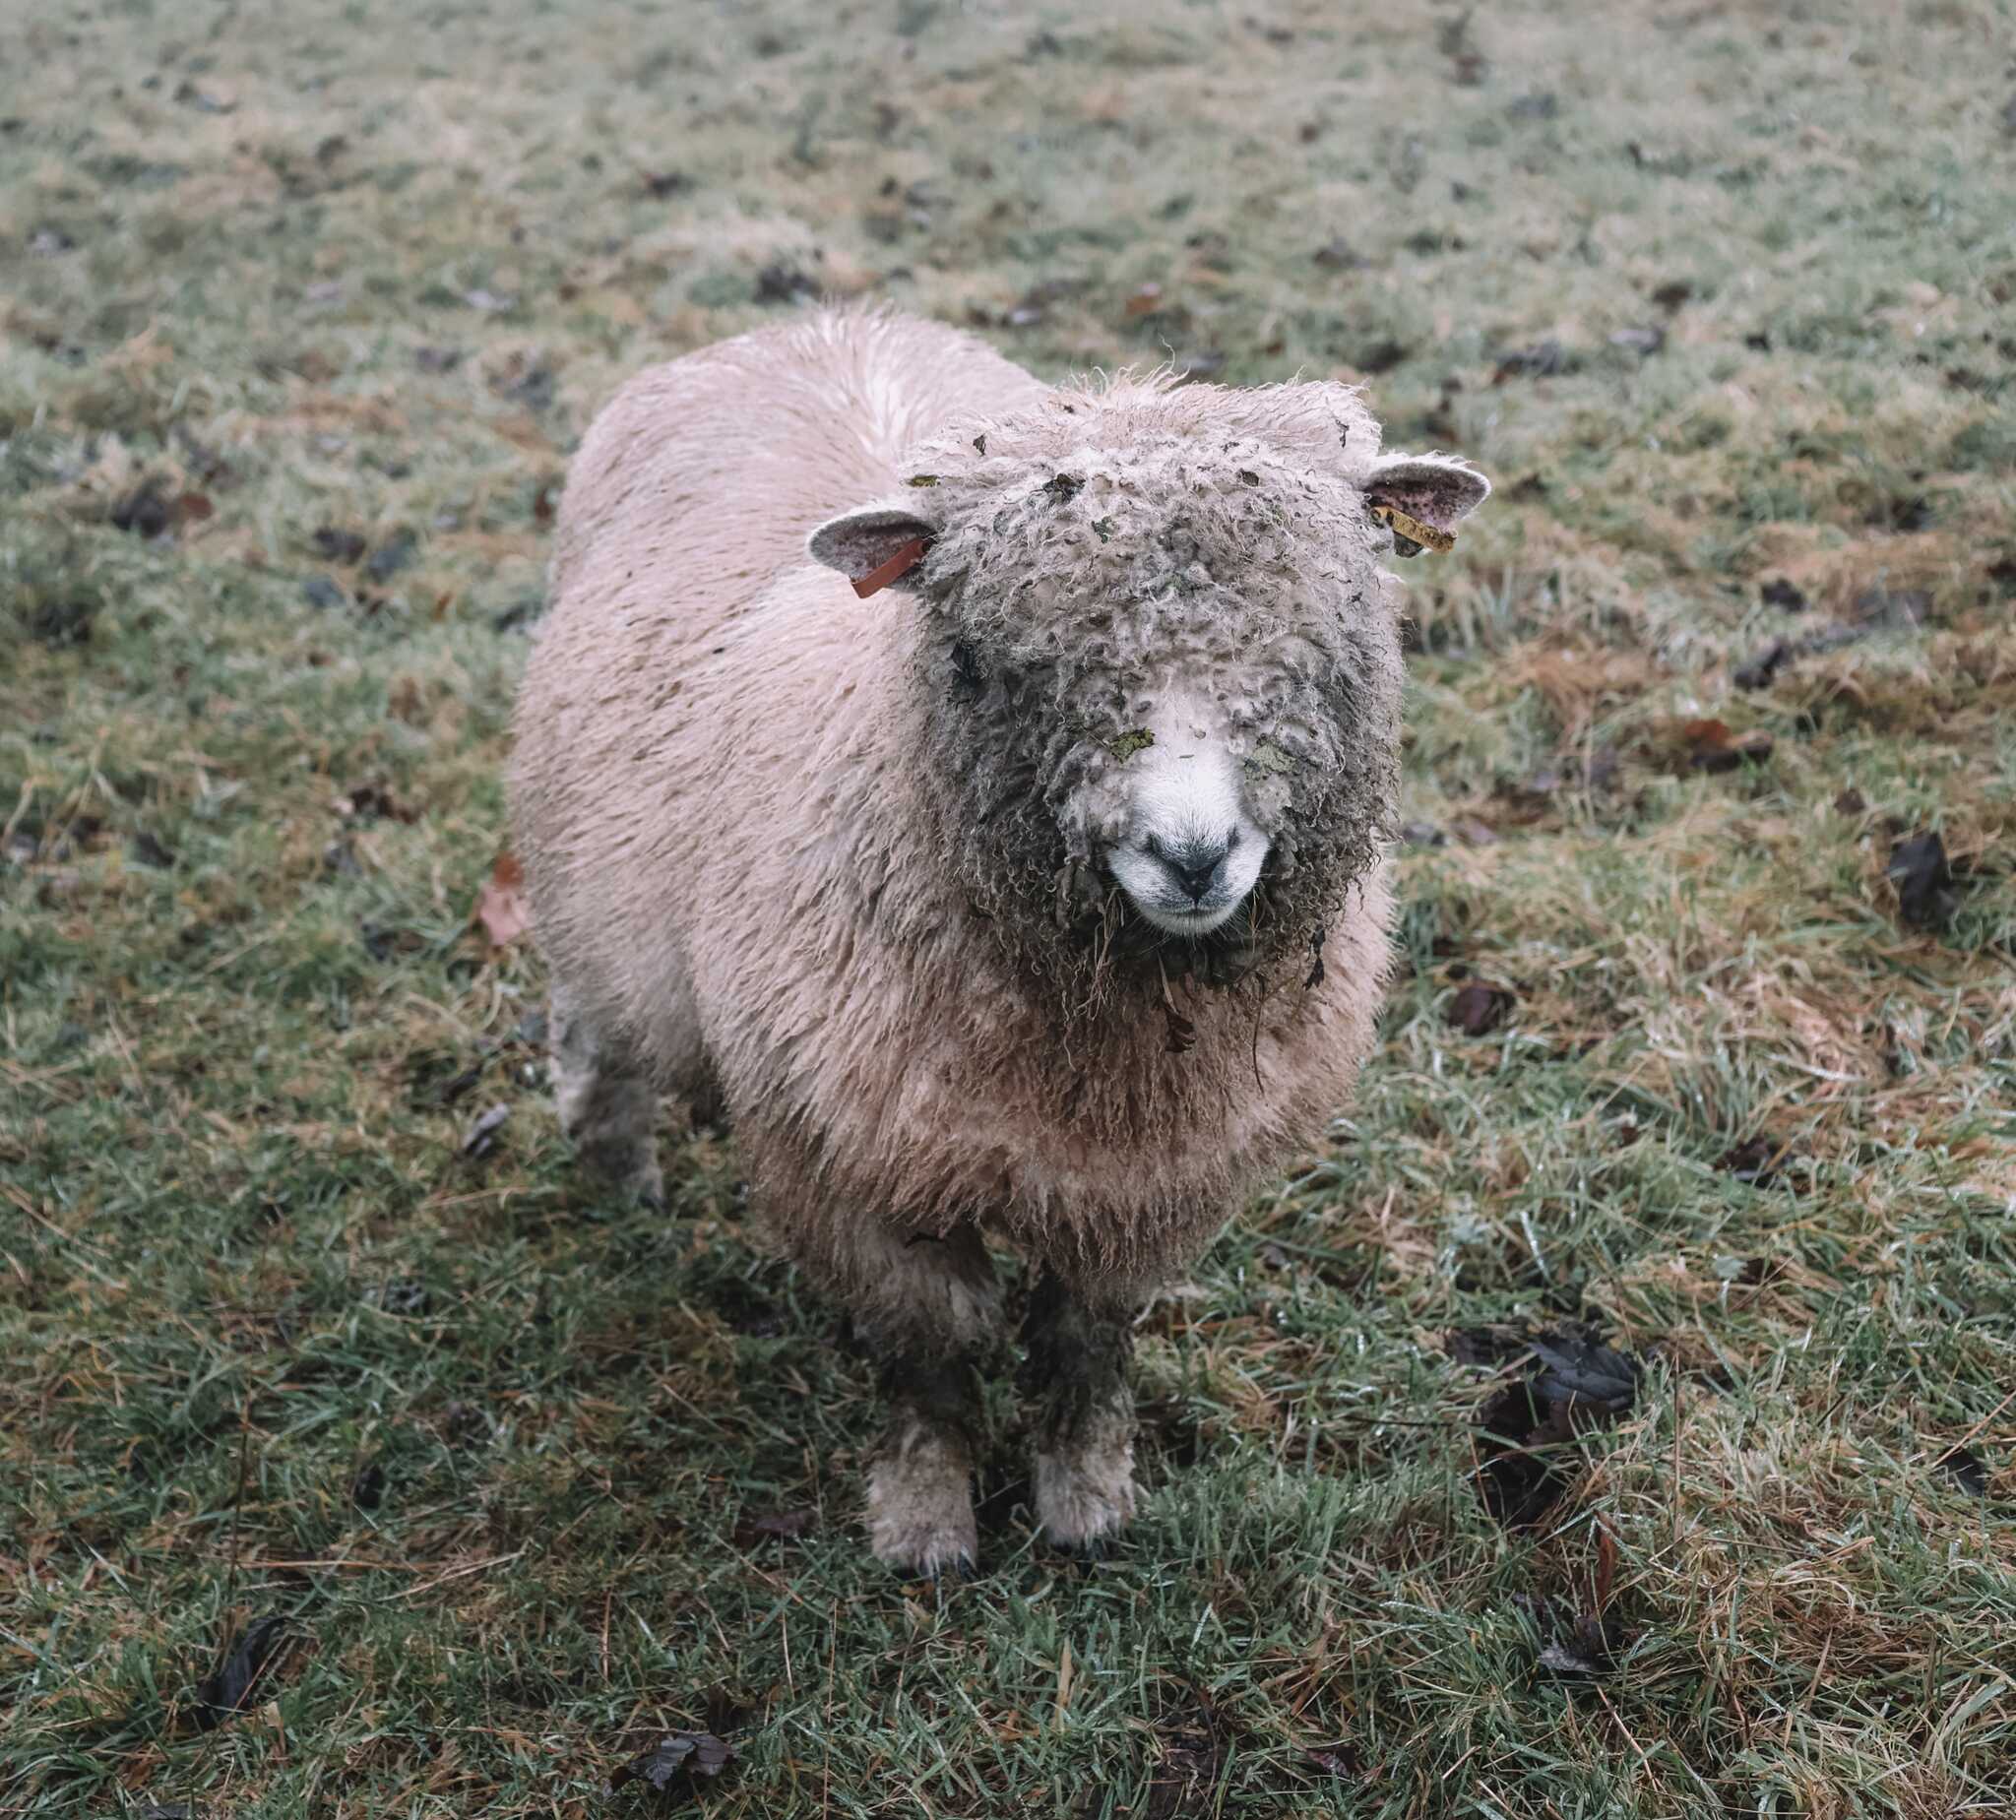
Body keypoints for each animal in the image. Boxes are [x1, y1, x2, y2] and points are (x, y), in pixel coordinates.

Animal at [509, 306, 1488, 1573]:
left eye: (1344, 628)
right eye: (980, 659)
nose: (1190, 854)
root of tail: (815, 322)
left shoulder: (1150, 1186)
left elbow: (1084, 1340)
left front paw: (1085, 1500)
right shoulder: (843, 1161)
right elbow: (929, 1346)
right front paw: (926, 1517)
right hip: (588, 885)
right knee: (595, 1021)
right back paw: (615, 1166)